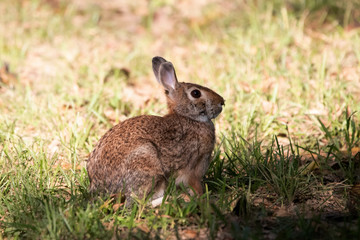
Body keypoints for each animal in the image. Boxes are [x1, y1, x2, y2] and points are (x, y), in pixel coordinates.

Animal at [86, 56, 224, 206]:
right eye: (196, 93)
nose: (222, 102)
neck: (188, 118)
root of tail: (100, 188)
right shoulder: (193, 167)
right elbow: (195, 185)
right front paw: (202, 197)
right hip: (146, 162)